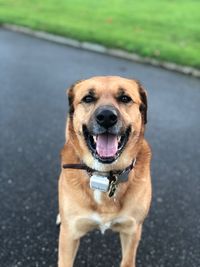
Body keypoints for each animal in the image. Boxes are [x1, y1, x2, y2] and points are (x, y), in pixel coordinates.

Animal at [57, 76, 152, 267]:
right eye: (88, 98)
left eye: (125, 98)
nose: (107, 117)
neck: (104, 175)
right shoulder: (69, 235)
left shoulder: (132, 232)